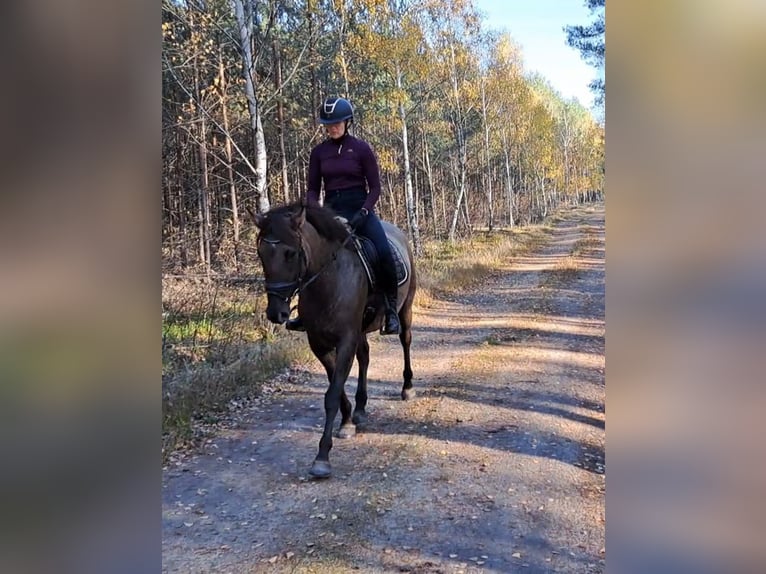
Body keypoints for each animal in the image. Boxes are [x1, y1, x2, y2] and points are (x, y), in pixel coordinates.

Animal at [255, 200, 416, 480]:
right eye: (261, 254)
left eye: (290, 253)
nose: (277, 313)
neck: (328, 281)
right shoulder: (318, 343)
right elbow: (336, 386)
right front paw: (348, 420)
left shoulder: (346, 339)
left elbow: (331, 395)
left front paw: (322, 457)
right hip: (361, 330)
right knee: (365, 356)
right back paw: (361, 408)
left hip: (405, 308)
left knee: (405, 340)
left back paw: (407, 387)